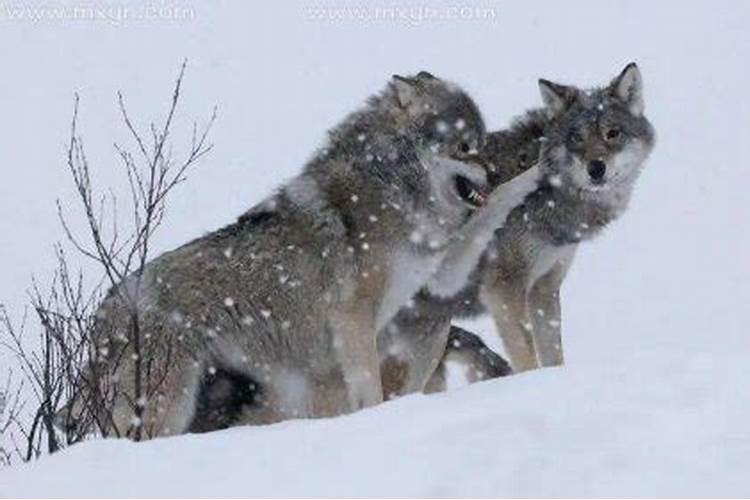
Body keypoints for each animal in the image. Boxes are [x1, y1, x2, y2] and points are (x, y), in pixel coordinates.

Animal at [58, 71, 540, 438]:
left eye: (481, 141)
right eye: (465, 146)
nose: (494, 171)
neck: (394, 184)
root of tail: (102, 315)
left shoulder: (430, 280)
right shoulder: (354, 317)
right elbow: (369, 386)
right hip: (167, 404)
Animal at [378, 62, 656, 396]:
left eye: (612, 133)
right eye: (576, 138)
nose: (596, 168)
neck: (546, 193)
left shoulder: (544, 289)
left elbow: (553, 356)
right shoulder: (505, 291)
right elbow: (527, 358)